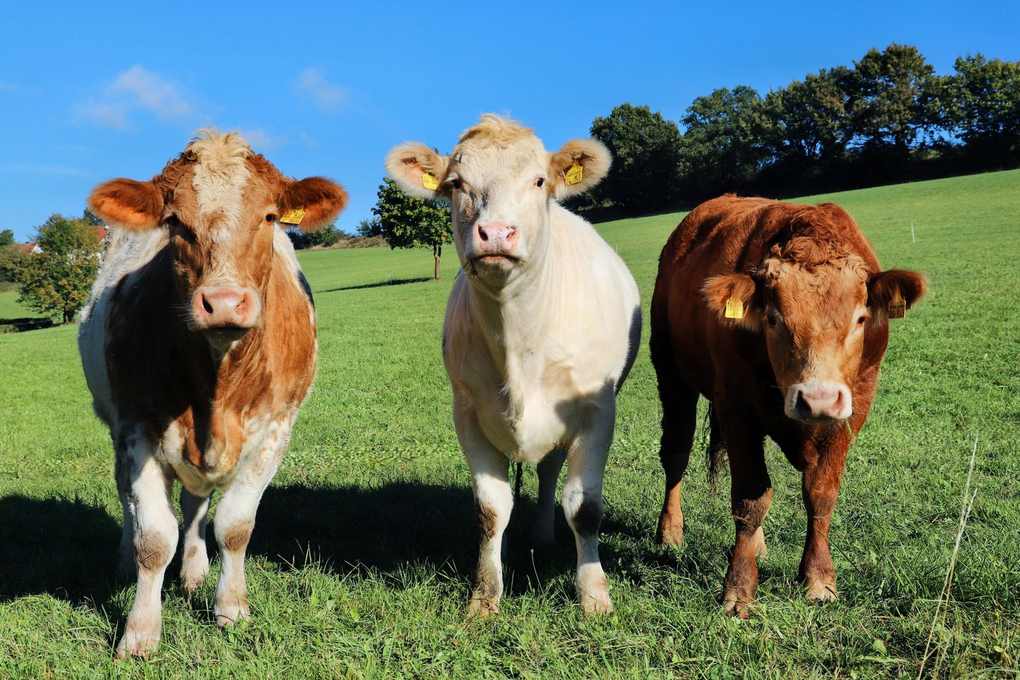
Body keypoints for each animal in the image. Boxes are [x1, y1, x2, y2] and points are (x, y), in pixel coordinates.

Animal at [78, 131, 346, 657]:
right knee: (129, 501)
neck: (216, 390)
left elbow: (234, 525)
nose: (223, 303)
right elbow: (153, 537)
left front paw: (230, 606)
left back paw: (196, 570)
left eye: (269, 216)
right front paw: (140, 632)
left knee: (195, 505)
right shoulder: (136, 428)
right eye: (174, 222)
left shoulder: (275, 430)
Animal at [385, 115, 641, 615]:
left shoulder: (597, 411)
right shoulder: (467, 412)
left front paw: (593, 596)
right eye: (456, 184)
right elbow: (491, 508)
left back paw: (544, 533)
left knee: (549, 473)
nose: (497, 233)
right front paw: (484, 597)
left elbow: (584, 507)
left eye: (539, 180)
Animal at [649, 195, 926, 617]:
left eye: (860, 318)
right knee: (676, 453)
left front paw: (818, 579)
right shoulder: (738, 411)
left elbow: (820, 494)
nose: (818, 398)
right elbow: (750, 498)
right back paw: (670, 531)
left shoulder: (852, 411)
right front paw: (739, 590)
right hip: (671, 374)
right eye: (773, 318)